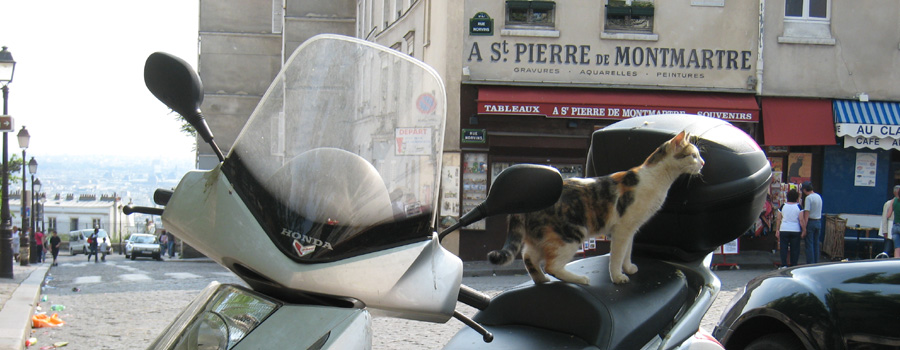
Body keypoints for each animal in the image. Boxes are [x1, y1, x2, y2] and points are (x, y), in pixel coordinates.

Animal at [488, 131, 700, 284]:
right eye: (693, 155)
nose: (703, 163)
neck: (657, 179)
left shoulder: (631, 229)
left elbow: (627, 251)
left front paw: (629, 267)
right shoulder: (622, 229)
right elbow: (617, 255)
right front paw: (618, 277)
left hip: (541, 238)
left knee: (528, 257)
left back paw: (541, 280)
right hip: (571, 234)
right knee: (552, 265)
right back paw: (580, 279)